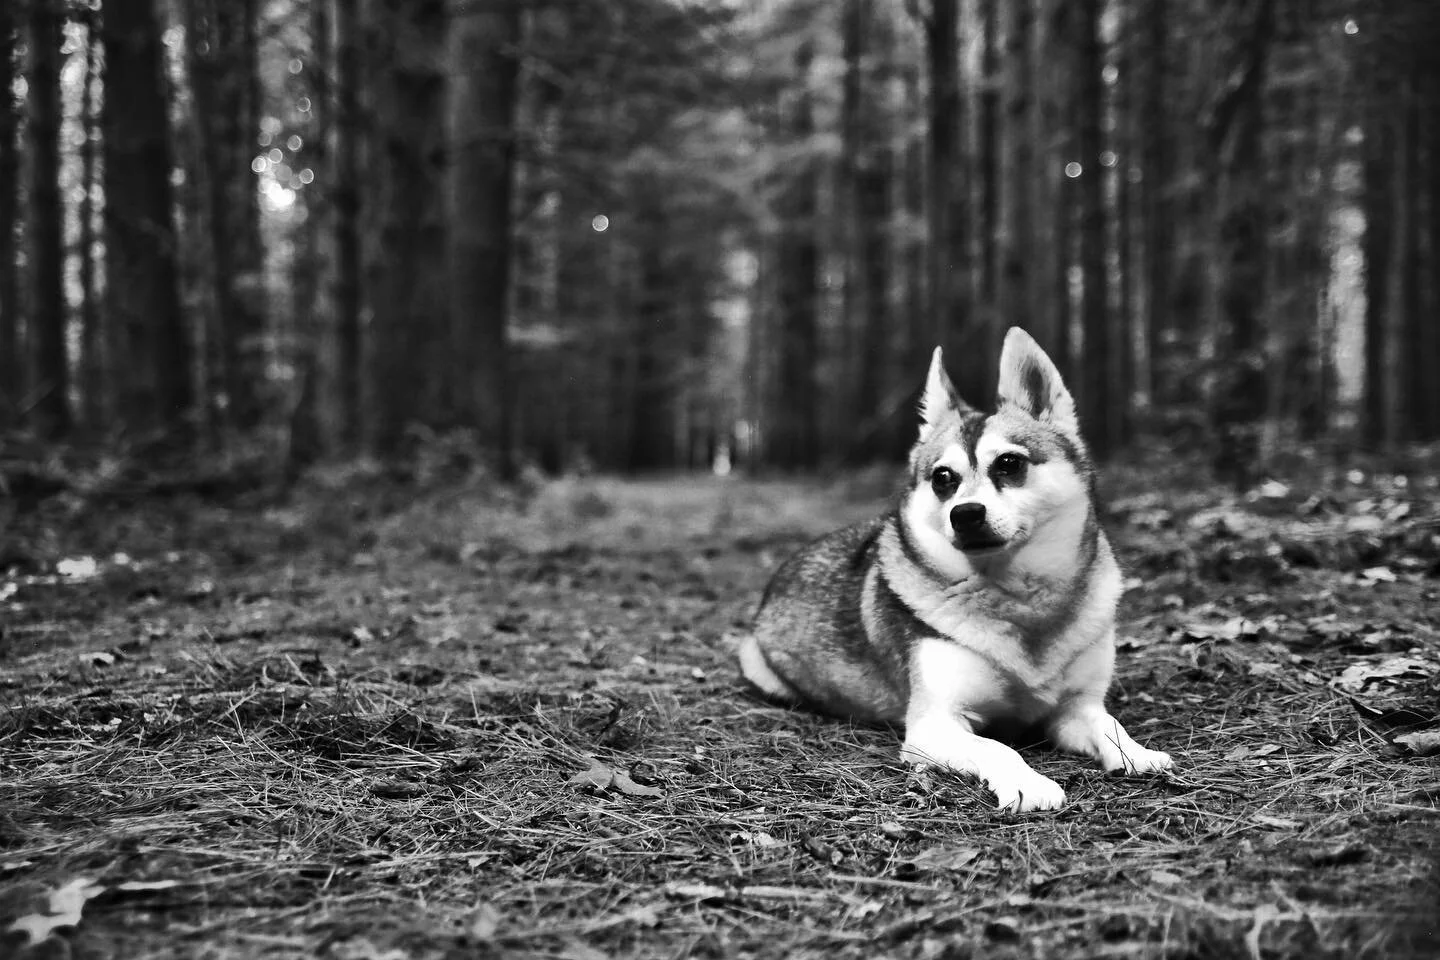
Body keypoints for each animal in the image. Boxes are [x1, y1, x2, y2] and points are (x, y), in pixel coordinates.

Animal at [738, 327, 1172, 812]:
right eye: (942, 477)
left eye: (1009, 463)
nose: (965, 514)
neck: (1017, 599)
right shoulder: (934, 725)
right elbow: (996, 746)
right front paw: (1029, 781)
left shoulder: (1077, 709)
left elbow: (1109, 725)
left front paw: (1137, 753)